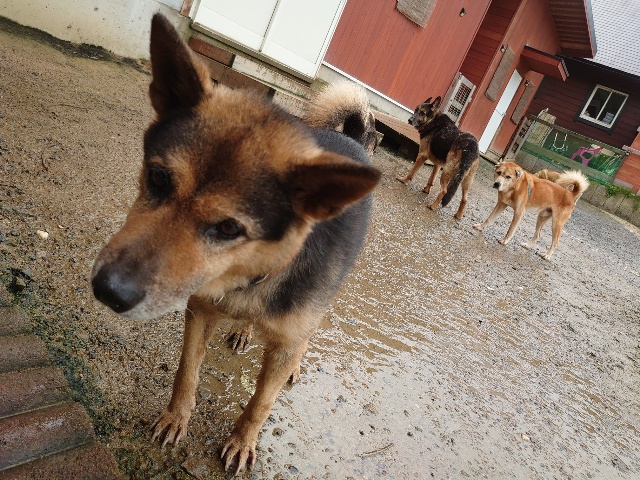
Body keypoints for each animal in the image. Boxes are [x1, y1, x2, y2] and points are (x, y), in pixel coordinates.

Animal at [91, 14, 380, 474]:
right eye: (157, 178)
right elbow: (186, 372)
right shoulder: (199, 310)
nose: (107, 290)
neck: (246, 277)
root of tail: (351, 139)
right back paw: (244, 330)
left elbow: (260, 403)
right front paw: (175, 418)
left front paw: (243, 441)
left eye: (229, 228)